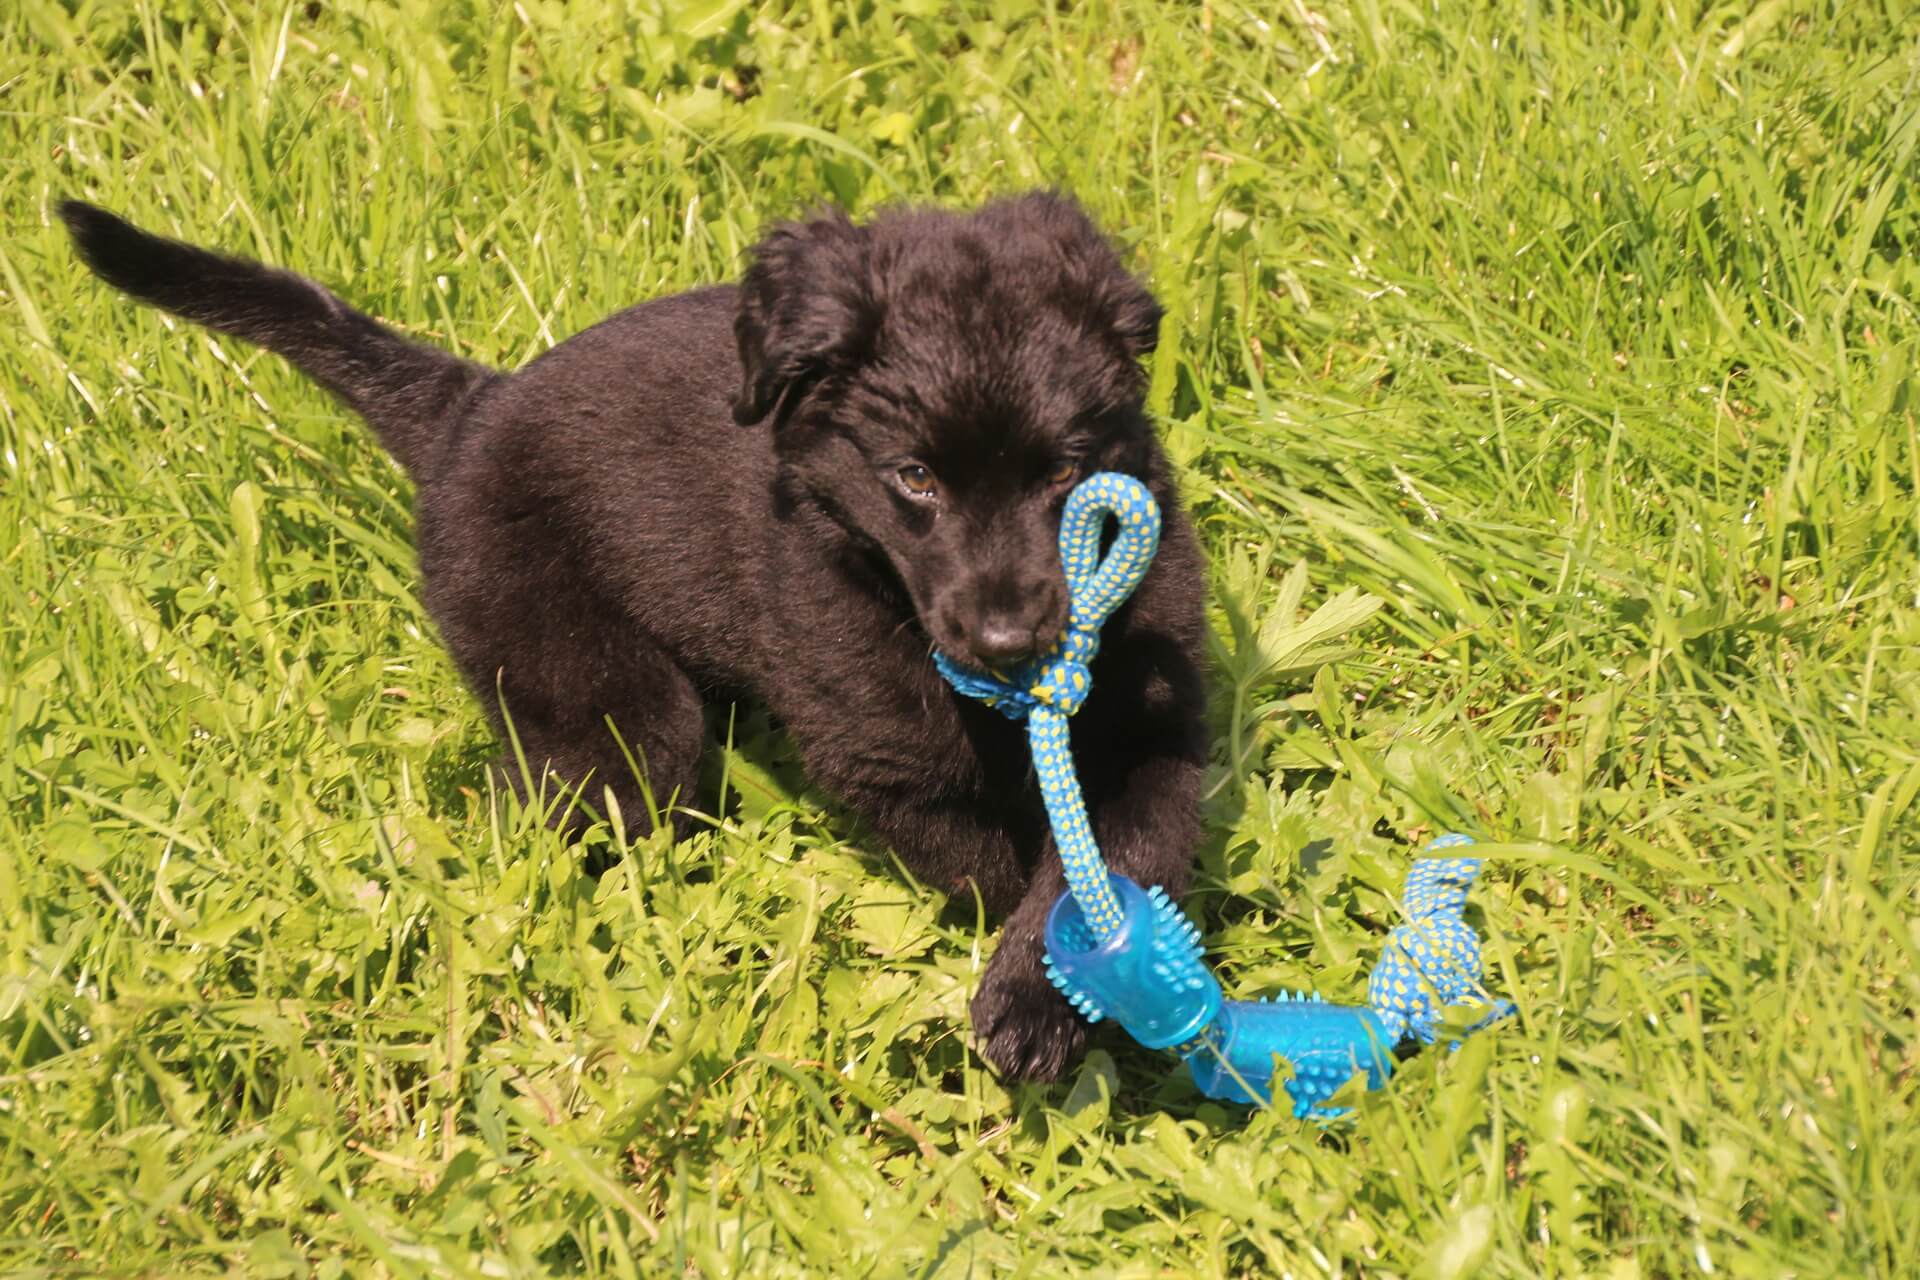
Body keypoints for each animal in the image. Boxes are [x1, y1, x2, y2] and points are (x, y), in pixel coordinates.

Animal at [63, 192, 1198, 1082]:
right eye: (914, 477)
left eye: (1068, 470)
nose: (1011, 637)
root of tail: (473, 412)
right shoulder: (887, 760)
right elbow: (996, 865)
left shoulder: (1164, 731)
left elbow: (1117, 851)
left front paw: (1041, 995)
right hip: (601, 701)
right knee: (547, 786)